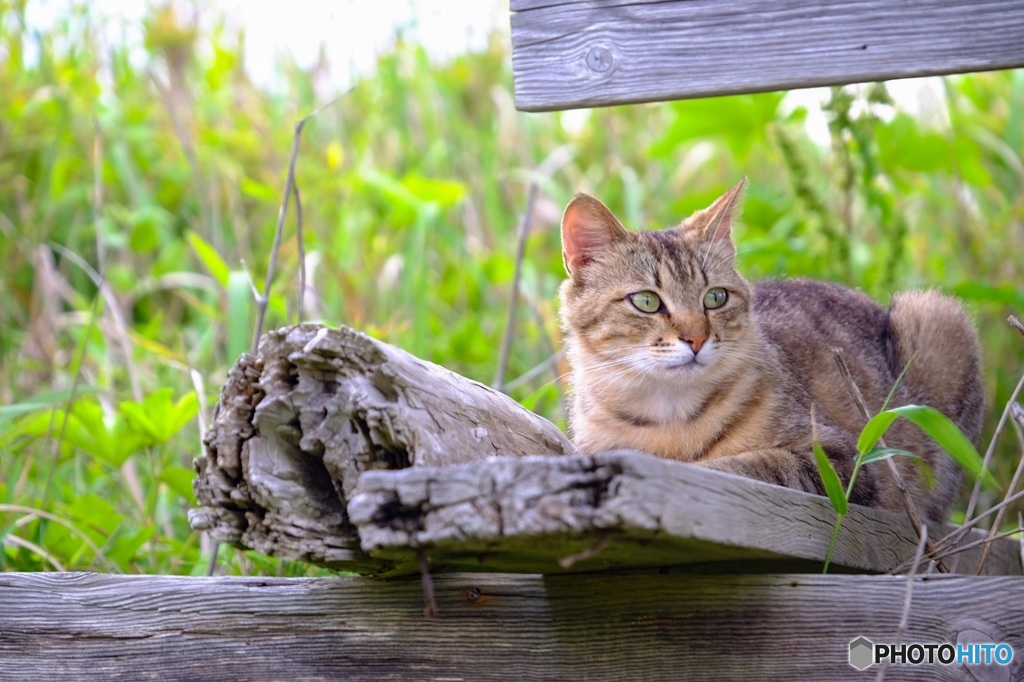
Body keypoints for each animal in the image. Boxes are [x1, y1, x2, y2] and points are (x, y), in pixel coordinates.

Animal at [561, 178, 983, 518]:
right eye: (646, 301)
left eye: (715, 297)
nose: (696, 338)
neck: (669, 416)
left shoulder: (845, 464)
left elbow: (752, 464)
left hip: (936, 317)